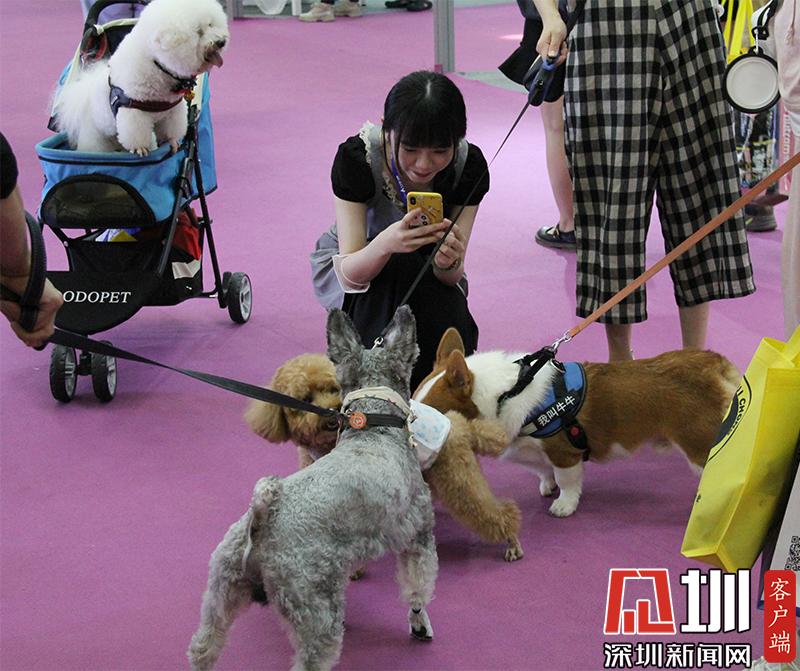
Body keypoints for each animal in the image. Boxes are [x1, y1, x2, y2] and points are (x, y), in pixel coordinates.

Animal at [55, 0, 228, 154]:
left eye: (211, 24)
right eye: (198, 31)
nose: (221, 42)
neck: (157, 65)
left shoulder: (171, 112)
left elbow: (170, 132)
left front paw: (172, 142)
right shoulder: (134, 111)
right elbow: (136, 135)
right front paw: (140, 149)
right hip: (95, 137)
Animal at [188, 307, 438, 671]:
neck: (374, 428)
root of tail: (261, 522)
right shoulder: (417, 536)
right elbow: (417, 587)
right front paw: (419, 622)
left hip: (221, 592)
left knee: (203, 647)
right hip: (315, 612)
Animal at [246, 353, 522, 561]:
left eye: (333, 388)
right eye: (305, 398)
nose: (331, 410)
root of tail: (460, 425)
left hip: (457, 479)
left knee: (497, 513)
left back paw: (512, 542)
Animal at [415, 328, 741, 518]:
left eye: (431, 412)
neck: (506, 394)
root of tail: (713, 363)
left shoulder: (565, 454)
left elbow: (567, 482)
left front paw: (564, 506)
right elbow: (544, 473)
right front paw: (546, 486)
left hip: (699, 445)